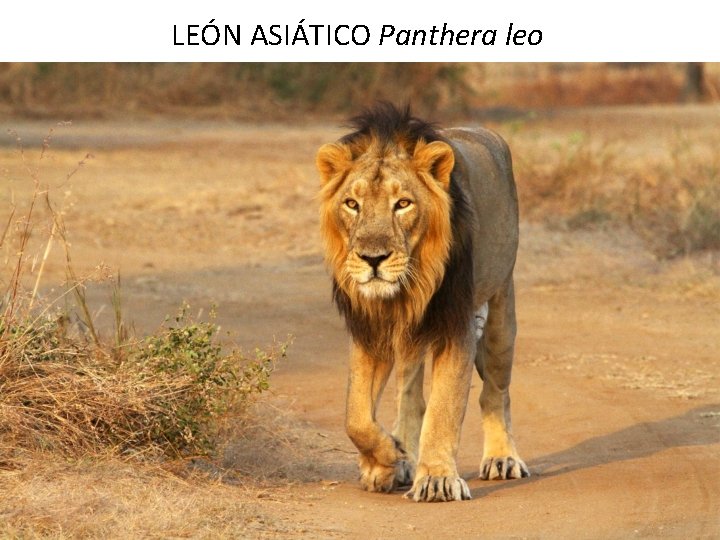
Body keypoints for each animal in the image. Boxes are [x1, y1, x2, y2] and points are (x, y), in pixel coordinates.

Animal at [316, 103, 528, 502]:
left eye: (403, 204)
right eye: (352, 204)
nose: (372, 258)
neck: (404, 291)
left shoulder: (457, 326)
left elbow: (445, 408)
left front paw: (436, 479)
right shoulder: (371, 330)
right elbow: (356, 416)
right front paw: (389, 459)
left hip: (499, 309)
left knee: (496, 391)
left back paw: (502, 457)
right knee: (410, 397)